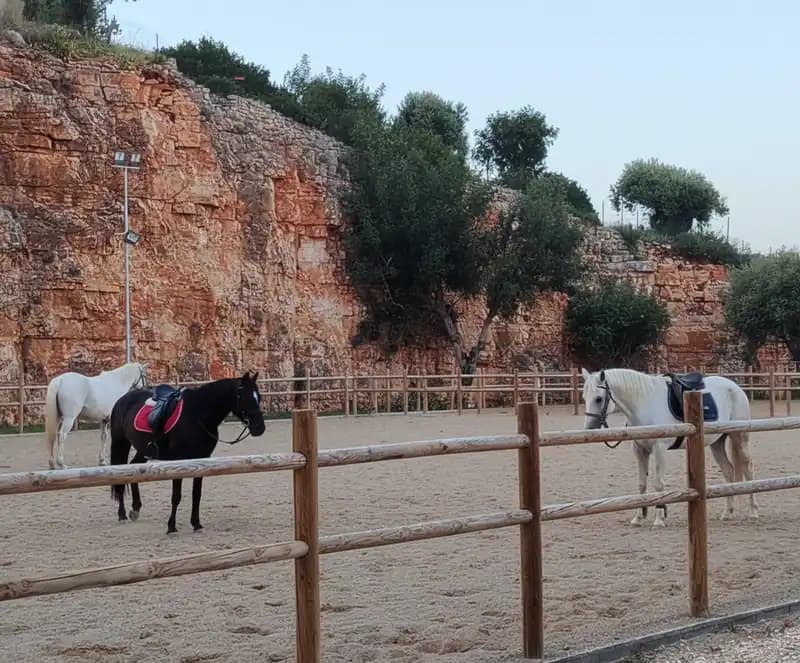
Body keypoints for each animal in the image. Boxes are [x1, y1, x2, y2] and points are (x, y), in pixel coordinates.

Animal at [109, 371, 266, 534]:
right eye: (243, 395)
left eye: (258, 396)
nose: (259, 428)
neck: (197, 414)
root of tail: (123, 399)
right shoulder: (179, 461)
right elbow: (176, 496)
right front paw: (171, 526)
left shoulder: (202, 460)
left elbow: (196, 494)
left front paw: (196, 523)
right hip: (120, 442)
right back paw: (122, 514)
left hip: (144, 449)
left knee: (134, 467)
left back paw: (135, 508)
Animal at [581, 367, 758, 527]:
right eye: (584, 397)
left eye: (598, 399)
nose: (589, 428)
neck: (645, 403)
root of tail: (735, 387)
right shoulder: (639, 450)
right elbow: (641, 484)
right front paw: (638, 518)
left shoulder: (659, 449)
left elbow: (659, 484)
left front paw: (659, 518)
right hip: (717, 443)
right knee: (729, 471)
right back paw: (728, 513)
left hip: (740, 437)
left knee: (748, 469)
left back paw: (753, 512)